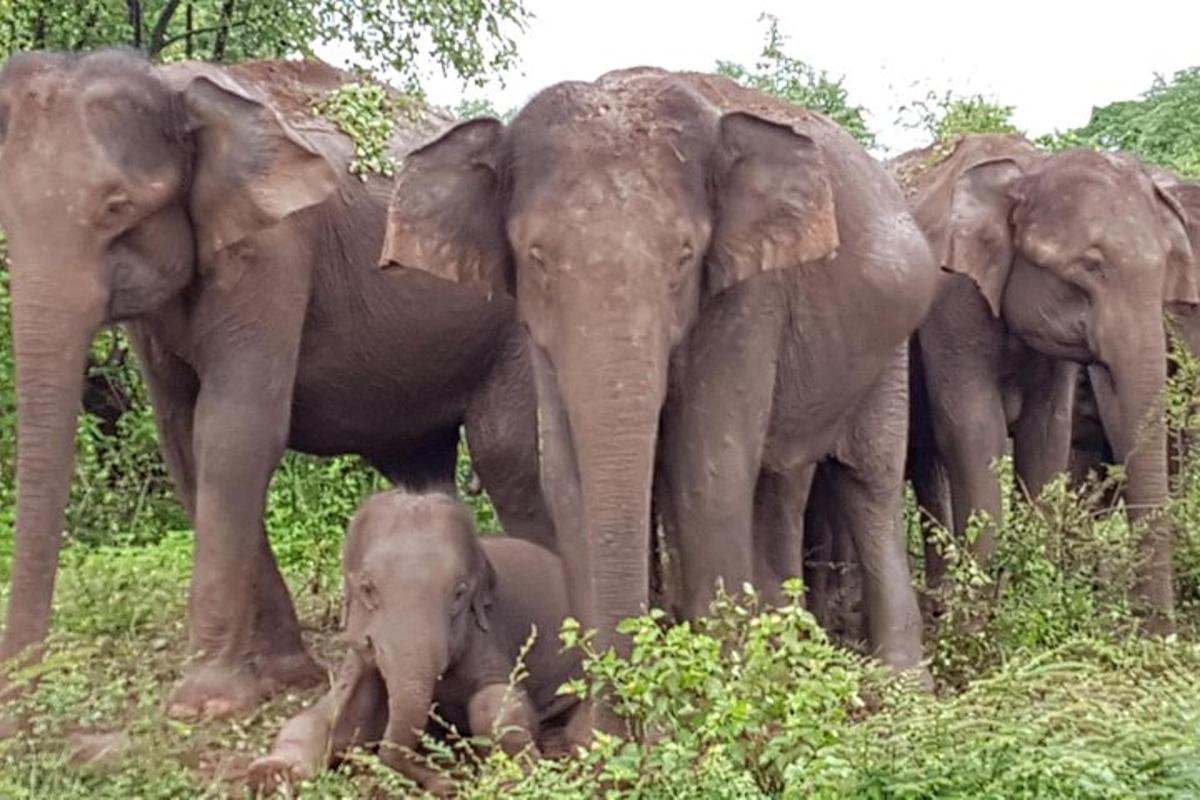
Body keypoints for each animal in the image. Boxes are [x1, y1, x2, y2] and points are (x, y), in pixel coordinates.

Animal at [0, 53, 552, 724]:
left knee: (510, 457)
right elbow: (184, 442)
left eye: (116, 207)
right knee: (425, 475)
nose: (19, 692)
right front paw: (286, 676)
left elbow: (235, 434)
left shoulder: (271, 252)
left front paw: (204, 704)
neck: (176, 86)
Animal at [246, 489, 583, 796]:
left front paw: (516, 779)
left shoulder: (489, 636)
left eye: (459, 593)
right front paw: (270, 775)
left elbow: (496, 703)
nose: (448, 785)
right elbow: (322, 714)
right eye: (367, 589)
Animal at [379, 65, 940, 729]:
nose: (627, 714)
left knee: (868, 478)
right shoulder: (540, 332)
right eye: (537, 257)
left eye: (684, 257)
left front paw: (721, 710)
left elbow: (707, 470)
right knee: (780, 482)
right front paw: (599, 733)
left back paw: (901, 686)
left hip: (893, 338)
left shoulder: (748, 294)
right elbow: (565, 477)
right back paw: (789, 649)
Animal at [902, 134, 1200, 633]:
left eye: (1166, 270)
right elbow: (973, 433)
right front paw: (977, 630)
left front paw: (1030, 606)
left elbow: (1047, 439)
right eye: (1091, 265)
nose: (1159, 633)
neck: (1027, 169)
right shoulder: (950, 300)